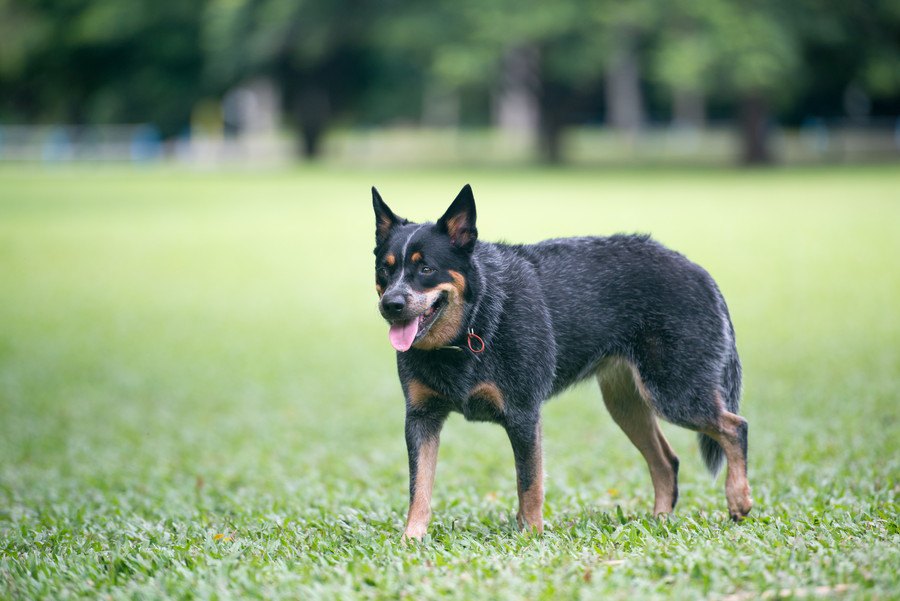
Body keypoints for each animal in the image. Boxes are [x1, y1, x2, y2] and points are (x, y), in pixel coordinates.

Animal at [372, 184, 752, 540]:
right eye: (384, 271)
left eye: (426, 268)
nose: (391, 305)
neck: (474, 322)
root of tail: (700, 272)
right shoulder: (421, 417)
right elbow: (419, 487)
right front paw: (411, 537)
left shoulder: (523, 414)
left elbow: (529, 484)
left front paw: (531, 535)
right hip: (626, 404)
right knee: (666, 461)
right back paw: (660, 520)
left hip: (674, 393)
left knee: (736, 426)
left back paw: (738, 499)